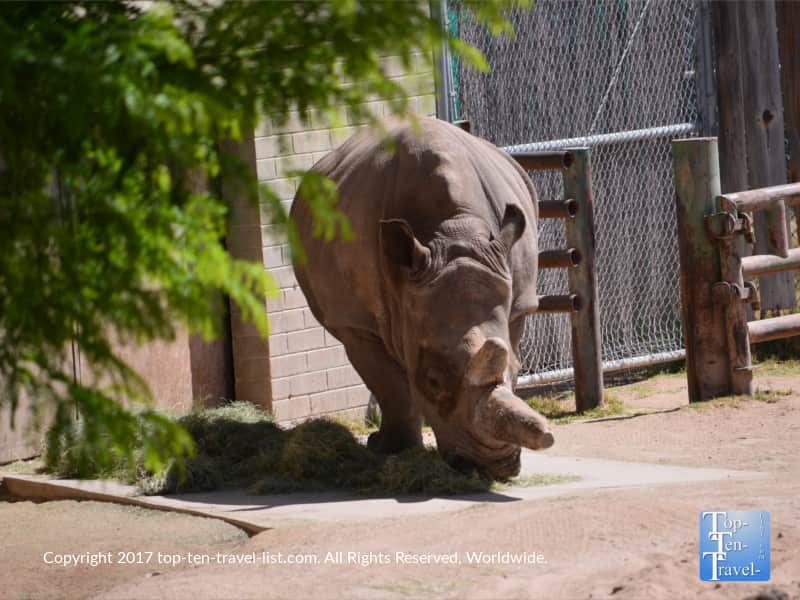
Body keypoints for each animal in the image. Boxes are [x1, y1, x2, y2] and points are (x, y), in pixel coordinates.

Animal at [290, 117, 553, 480]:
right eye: (433, 380)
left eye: (520, 368)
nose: (491, 467)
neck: (454, 232)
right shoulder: (356, 322)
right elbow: (390, 385)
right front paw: (391, 450)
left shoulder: (517, 306)